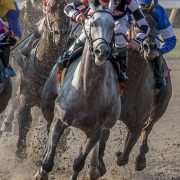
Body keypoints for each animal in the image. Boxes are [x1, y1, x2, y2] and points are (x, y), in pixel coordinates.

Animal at [34, 5, 120, 180]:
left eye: (113, 26)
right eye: (92, 23)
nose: (102, 51)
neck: (87, 90)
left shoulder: (95, 131)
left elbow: (78, 163)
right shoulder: (60, 120)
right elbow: (48, 161)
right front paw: (40, 174)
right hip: (47, 105)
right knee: (48, 130)